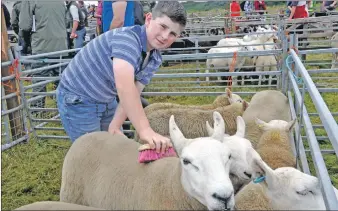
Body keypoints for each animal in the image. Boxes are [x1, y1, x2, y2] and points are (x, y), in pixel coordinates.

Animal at [59, 113, 236, 210]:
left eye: (228, 156)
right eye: (186, 161)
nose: (224, 197)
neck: (172, 185)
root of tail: (87, 135)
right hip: (70, 198)